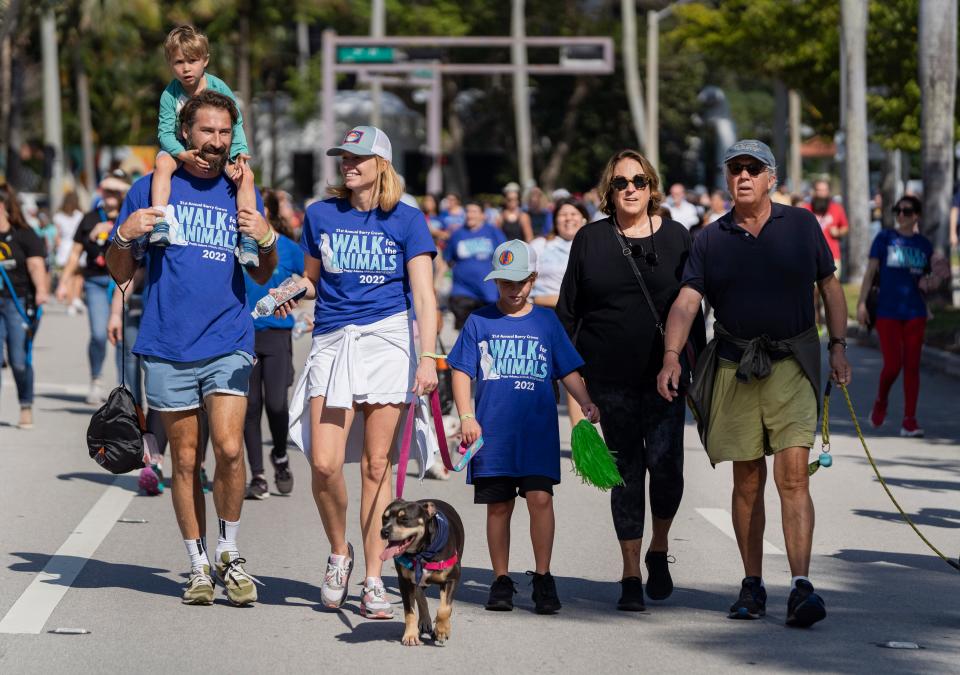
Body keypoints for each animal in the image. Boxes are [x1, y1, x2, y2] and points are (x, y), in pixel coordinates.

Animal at [378, 500, 464, 648]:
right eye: (384, 518)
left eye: (404, 519)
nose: (384, 531)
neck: (421, 553)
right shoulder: (404, 582)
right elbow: (409, 611)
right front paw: (410, 635)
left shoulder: (452, 579)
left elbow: (445, 609)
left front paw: (442, 630)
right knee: (419, 594)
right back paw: (425, 621)